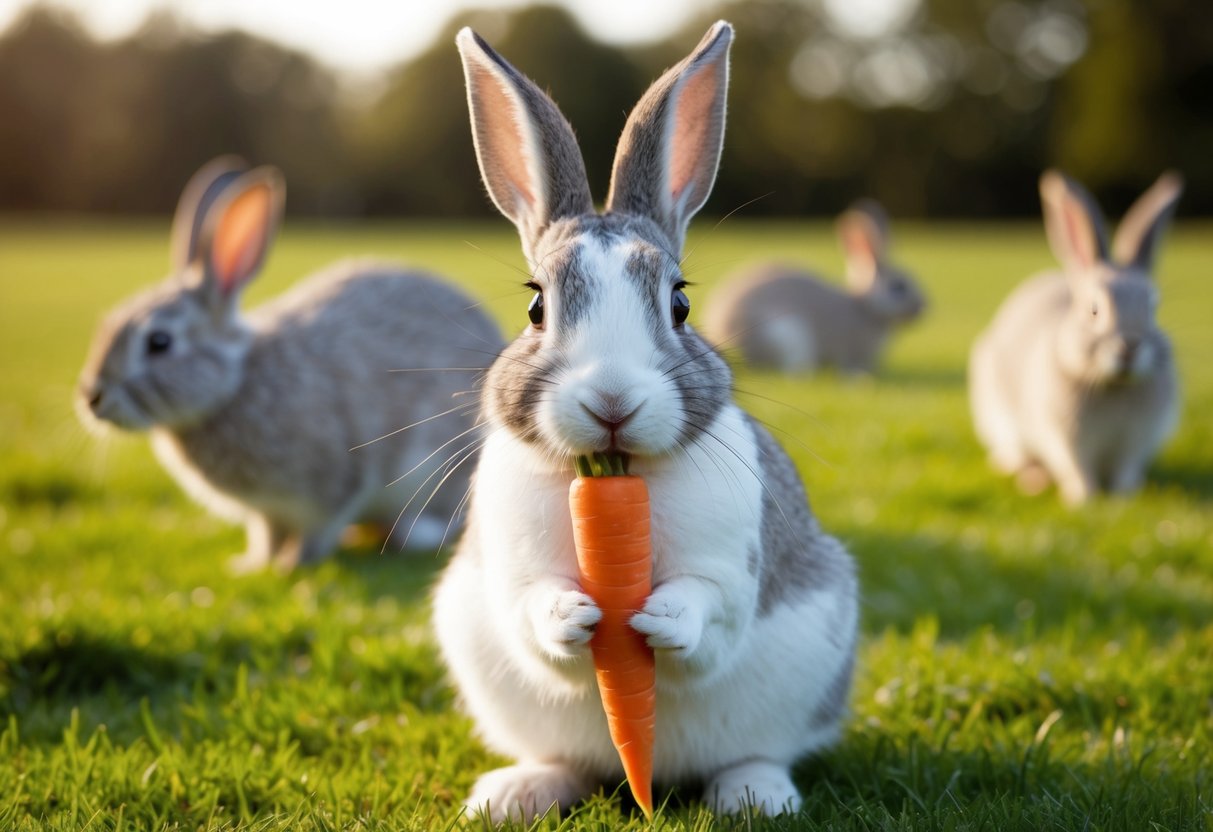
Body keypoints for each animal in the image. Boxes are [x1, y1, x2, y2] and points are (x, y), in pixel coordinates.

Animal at [77, 157, 504, 571]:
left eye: (159, 342)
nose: (91, 398)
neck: (234, 384)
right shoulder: (265, 511)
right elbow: (265, 534)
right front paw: (251, 564)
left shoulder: (332, 483)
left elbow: (319, 528)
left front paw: (292, 564)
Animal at [430, 22, 858, 823]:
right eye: (536, 305)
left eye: (680, 302)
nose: (612, 402)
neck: (619, 474)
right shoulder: (511, 569)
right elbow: (531, 610)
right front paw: (571, 615)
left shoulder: (730, 569)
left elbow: (708, 607)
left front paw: (659, 619)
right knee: (567, 764)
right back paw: (513, 794)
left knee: (757, 752)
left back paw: (755, 795)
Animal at [968, 170, 1183, 506]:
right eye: (1094, 309)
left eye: (1153, 307)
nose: (1129, 347)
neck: (1114, 385)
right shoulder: (1066, 441)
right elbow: (1078, 471)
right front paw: (1084, 500)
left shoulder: (1136, 444)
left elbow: (1125, 472)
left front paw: (1124, 497)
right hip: (997, 413)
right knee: (1014, 452)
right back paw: (1028, 476)